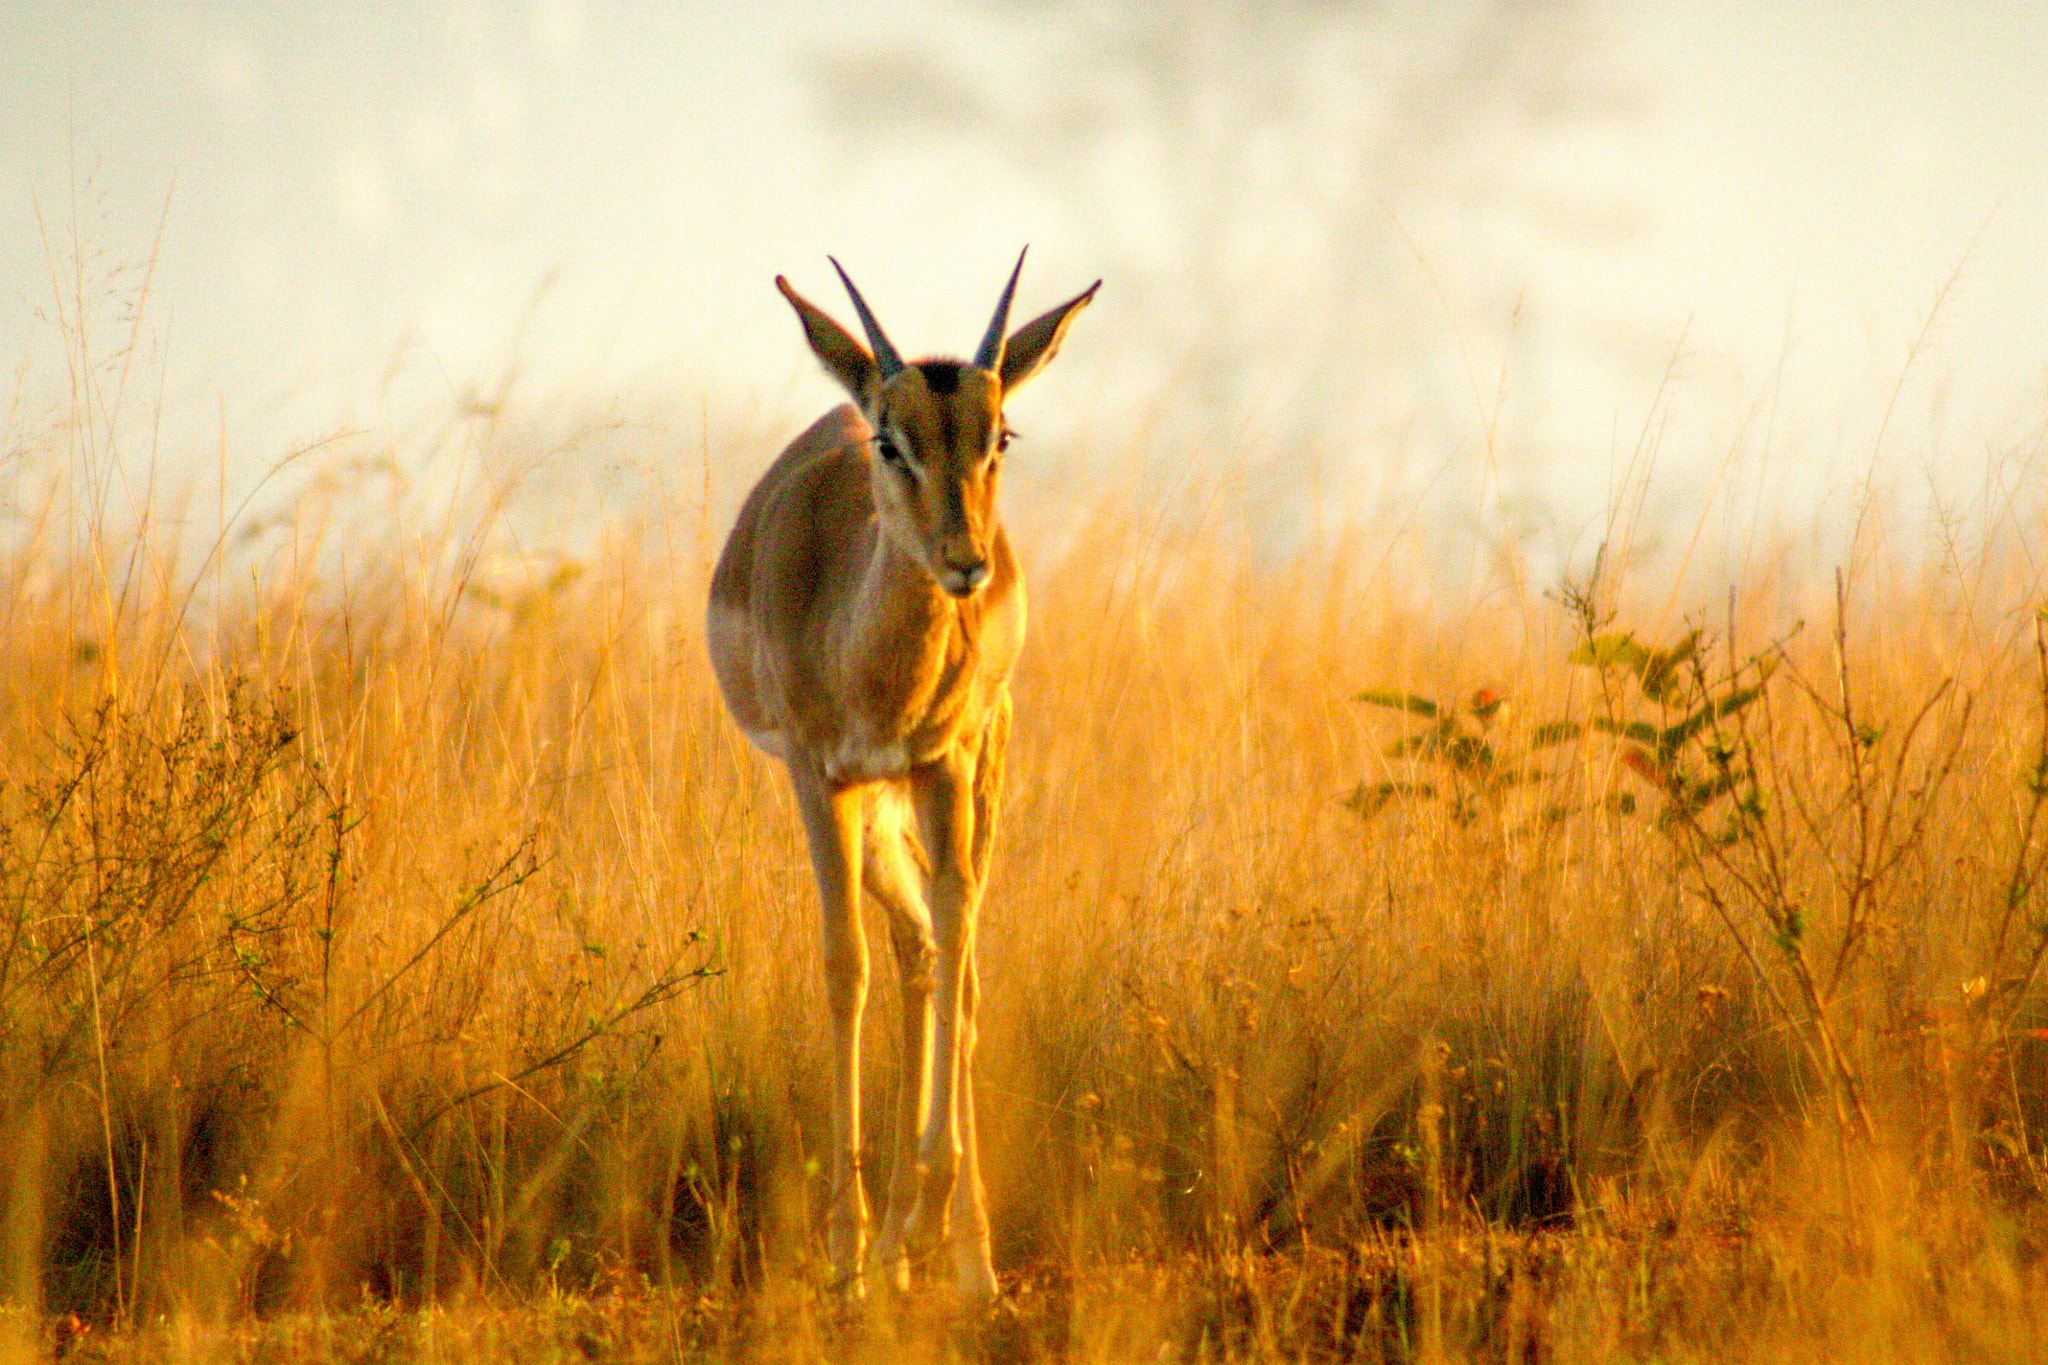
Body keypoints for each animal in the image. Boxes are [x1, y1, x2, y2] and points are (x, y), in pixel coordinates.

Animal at [706, 252, 1097, 1301]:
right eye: (893, 441)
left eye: (999, 433)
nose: (965, 563)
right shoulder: (818, 778)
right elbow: (845, 967)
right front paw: (848, 1252)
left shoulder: (941, 763)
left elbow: (958, 958)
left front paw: (933, 1227)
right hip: (874, 809)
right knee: (912, 947)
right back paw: (889, 1252)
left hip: (971, 777)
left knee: (950, 959)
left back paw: (960, 1256)